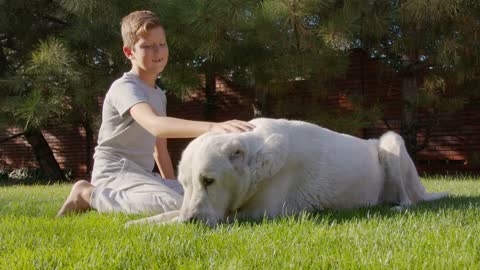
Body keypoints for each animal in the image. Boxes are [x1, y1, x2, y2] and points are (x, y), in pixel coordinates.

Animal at [125, 118, 448, 226]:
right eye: (186, 185)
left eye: (209, 181)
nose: (191, 220)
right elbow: (167, 213)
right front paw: (138, 223)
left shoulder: (259, 214)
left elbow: (178, 220)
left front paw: (169, 224)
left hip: (392, 142)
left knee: (409, 201)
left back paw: (397, 207)